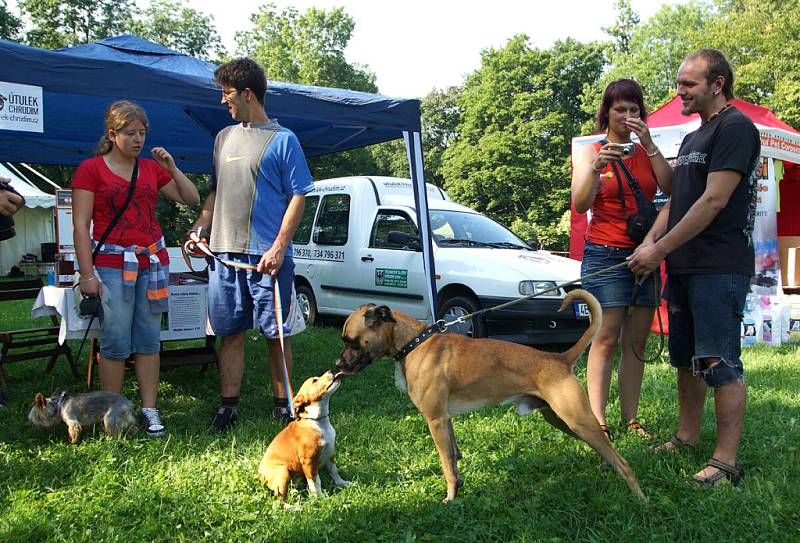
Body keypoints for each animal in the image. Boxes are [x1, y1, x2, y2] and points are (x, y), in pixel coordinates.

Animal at [258, 372, 348, 500]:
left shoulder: (330, 452)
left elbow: (334, 471)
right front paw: (320, 498)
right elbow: (315, 482)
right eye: (315, 380)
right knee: (279, 499)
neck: (317, 422)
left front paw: (341, 483)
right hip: (282, 472)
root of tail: (259, 475)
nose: (331, 371)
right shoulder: (308, 461)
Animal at [336, 292, 644, 504]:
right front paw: (458, 488)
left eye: (351, 341)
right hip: (562, 420)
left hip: (578, 420)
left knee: (623, 463)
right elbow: (454, 458)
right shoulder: (446, 422)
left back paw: (640, 498)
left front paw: (450, 499)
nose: (338, 365)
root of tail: (560, 359)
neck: (415, 343)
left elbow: (446, 464)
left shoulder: (436, 420)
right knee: (608, 451)